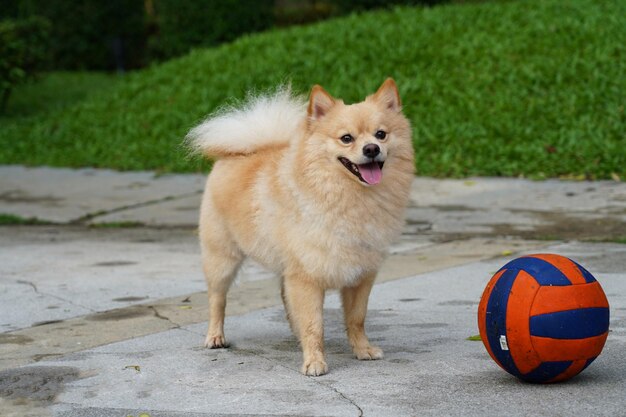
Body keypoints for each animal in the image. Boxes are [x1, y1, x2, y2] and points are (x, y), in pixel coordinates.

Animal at [186, 78, 414, 374]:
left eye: (381, 134)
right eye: (346, 138)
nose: (371, 149)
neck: (349, 197)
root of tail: (237, 153)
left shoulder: (360, 275)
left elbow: (356, 318)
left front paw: (362, 350)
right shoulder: (306, 277)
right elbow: (314, 324)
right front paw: (314, 361)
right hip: (222, 258)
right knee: (217, 299)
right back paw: (215, 336)